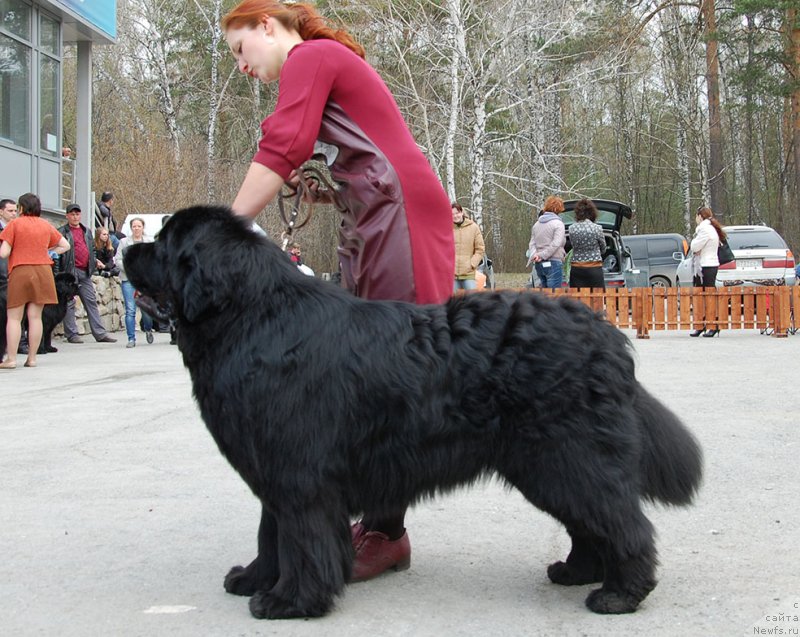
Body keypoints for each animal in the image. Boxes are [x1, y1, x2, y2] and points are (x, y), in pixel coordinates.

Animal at [123, 206, 700, 620]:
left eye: (164, 243)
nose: (128, 248)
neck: (252, 318)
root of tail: (607, 336)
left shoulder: (300, 475)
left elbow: (301, 539)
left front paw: (291, 601)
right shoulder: (275, 468)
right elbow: (271, 534)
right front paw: (254, 578)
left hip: (567, 457)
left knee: (623, 523)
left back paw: (620, 595)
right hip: (551, 465)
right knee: (590, 523)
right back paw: (578, 572)